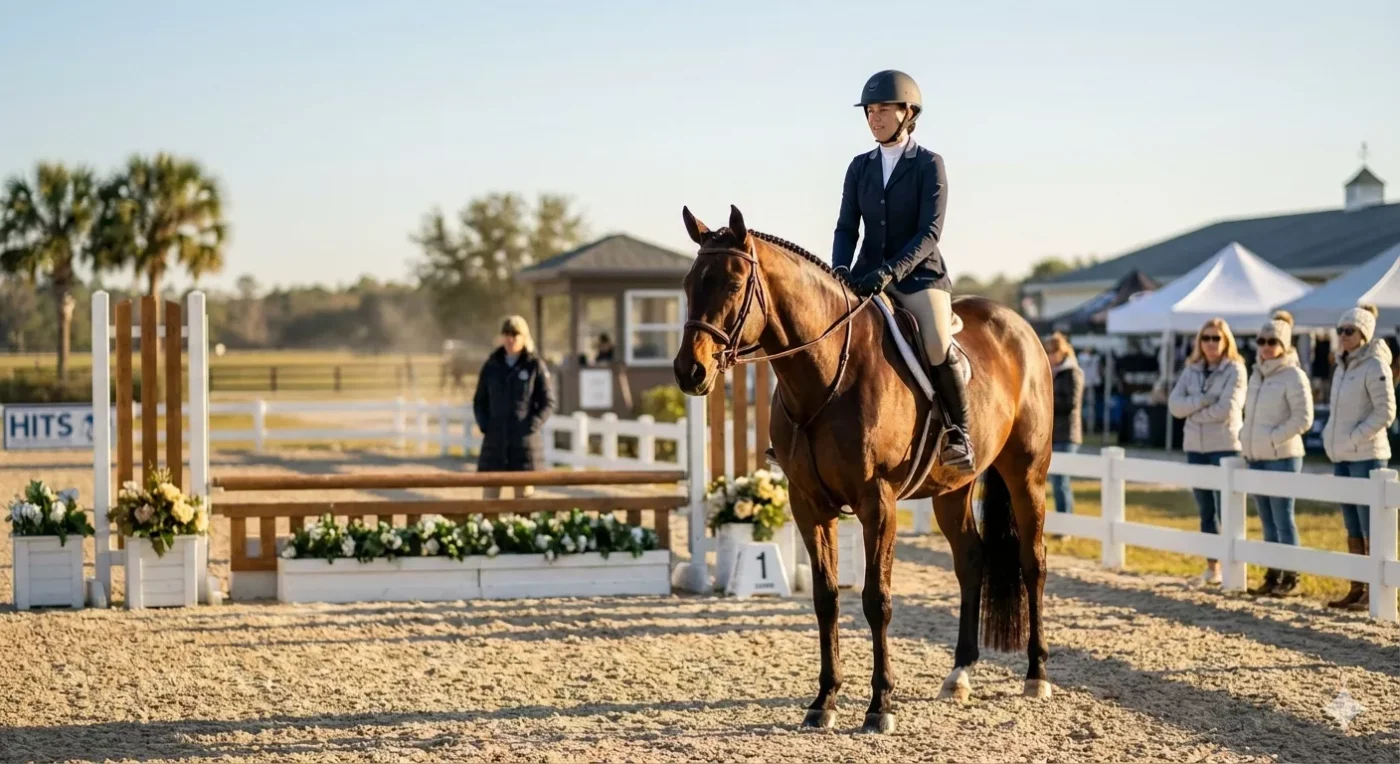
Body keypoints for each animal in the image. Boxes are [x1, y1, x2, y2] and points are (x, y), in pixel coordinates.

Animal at [672, 205, 1055, 734]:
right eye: (689, 283)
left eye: (731, 284)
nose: (689, 372)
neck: (826, 374)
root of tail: (1019, 325)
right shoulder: (808, 504)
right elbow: (827, 598)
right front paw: (824, 701)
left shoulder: (878, 503)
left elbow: (877, 600)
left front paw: (880, 706)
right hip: (951, 490)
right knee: (970, 561)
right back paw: (959, 674)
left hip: (1027, 476)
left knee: (1032, 562)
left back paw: (1036, 675)